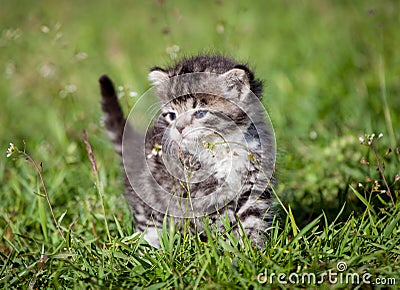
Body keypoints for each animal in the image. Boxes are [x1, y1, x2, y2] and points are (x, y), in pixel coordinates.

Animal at [99, 54, 276, 247]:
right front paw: (229, 249)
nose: (179, 128)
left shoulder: (254, 183)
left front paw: (254, 250)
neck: (222, 148)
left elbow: (252, 220)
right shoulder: (203, 194)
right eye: (172, 115)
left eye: (200, 113)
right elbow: (223, 223)